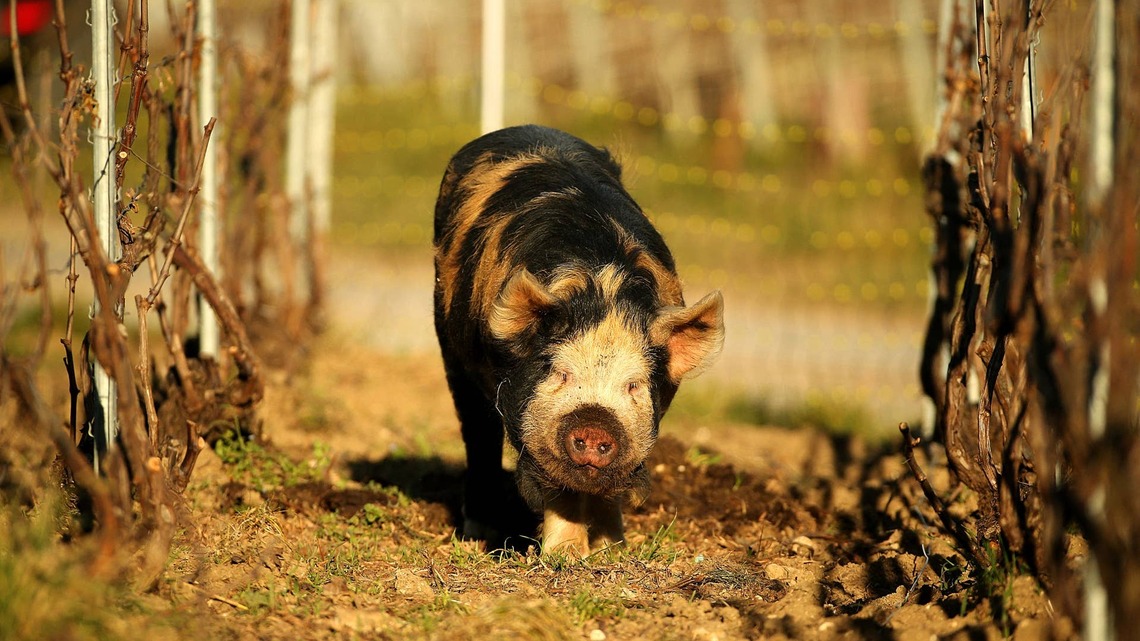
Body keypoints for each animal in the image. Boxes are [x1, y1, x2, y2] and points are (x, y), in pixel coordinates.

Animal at [433, 125, 724, 556]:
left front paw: (613, 549)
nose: (596, 423)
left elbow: (607, 491)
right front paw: (566, 556)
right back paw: (476, 535)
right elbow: (560, 486)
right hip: (451, 350)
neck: (603, 287)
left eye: (633, 385)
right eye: (561, 374)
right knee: (477, 434)